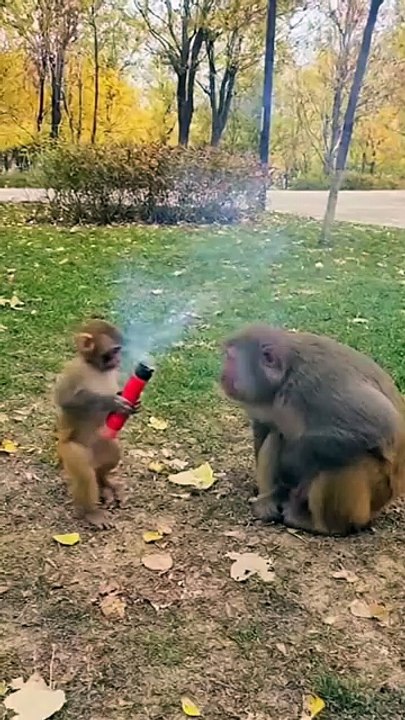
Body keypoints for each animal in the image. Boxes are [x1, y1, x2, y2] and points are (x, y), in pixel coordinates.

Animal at [54, 318, 139, 529]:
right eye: (114, 350)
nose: (118, 359)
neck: (93, 366)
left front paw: (132, 405)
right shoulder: (73, 371)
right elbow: (65, 400)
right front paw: (110, 401)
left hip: (103, 442)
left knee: (112, 453)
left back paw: (103, 482)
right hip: (70, 451)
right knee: (85, 474)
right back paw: (91, 512)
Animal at [220, 324, 405, 536]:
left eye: (230, 358)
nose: (221, 376)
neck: (284, 380)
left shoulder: (315, 384)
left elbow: (383, 426)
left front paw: (293, 466)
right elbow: (264, 427)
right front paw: (272, 492)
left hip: (378, 492)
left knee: (350, 456)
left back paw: (327, 525)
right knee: (276, 434)